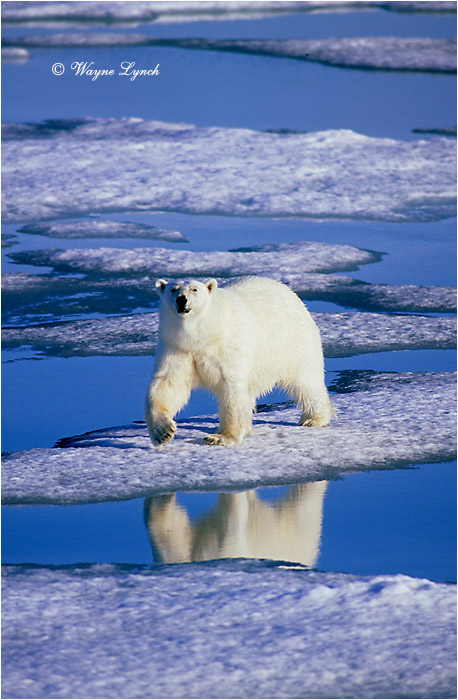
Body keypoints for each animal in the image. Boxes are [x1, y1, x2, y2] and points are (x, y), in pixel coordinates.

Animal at [145, 276, 333, 447]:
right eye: (173, 289)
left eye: (194, 289)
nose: (181, 299)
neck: (203, 334)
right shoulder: (177, 348)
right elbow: (168, 383)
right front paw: (163, 432)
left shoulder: (226, 348)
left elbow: (231, 388)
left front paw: (221, 437)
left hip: (294, 340)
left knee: (306, 380)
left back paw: (314, 418)